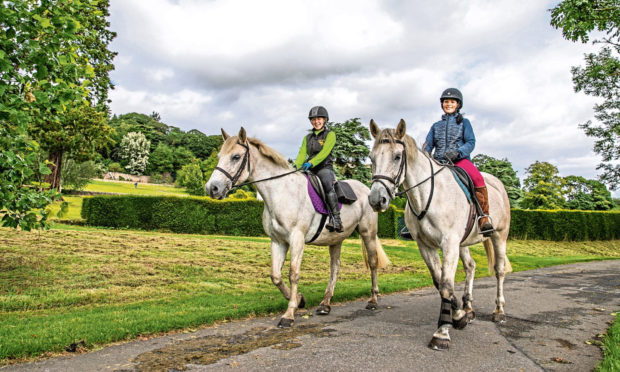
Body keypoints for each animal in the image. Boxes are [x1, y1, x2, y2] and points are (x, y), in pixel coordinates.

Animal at [206, 128, 390, 328]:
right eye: (219, 156)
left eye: (236, 156)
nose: (212, 188)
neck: (281, 192)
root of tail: (368, 190)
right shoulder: (278, 241)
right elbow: (275, 276)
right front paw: (300, 300)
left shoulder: (296, 239)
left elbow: (293, 274)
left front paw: (289, 314)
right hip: (336, 239)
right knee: (335, 267)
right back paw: (325, 304)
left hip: (367, 233)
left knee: (372, 262)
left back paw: (373, 300)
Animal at [366, 120, 512, 352]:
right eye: (372, 158)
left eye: (397, 156)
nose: (376, 200)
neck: (427, 195)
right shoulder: (425, 246)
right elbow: (438, 281)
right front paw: (459, 314)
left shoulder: (449, 243)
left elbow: (446, 285)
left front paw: (442, 332)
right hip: (464, 242)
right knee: (470, 266)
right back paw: (468, 307)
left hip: (499, 236)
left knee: (499, 270)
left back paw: (499, 311)